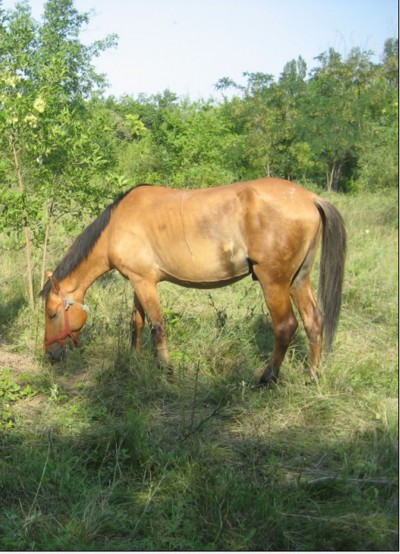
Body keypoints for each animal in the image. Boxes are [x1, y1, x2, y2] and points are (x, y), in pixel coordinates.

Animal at [41, 177, 346, 384]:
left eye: (52, 313)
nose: (51, 355)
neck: (116, 226)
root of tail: (310, 198)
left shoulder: (145, 283)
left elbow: (157, 326)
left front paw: (166, 369)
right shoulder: (139, 281)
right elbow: (136, 322)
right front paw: (134, 359)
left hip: (274, 282)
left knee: (285, 326)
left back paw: (267, 378)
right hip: (298, 280)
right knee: (313, 322)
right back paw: (312, 375)